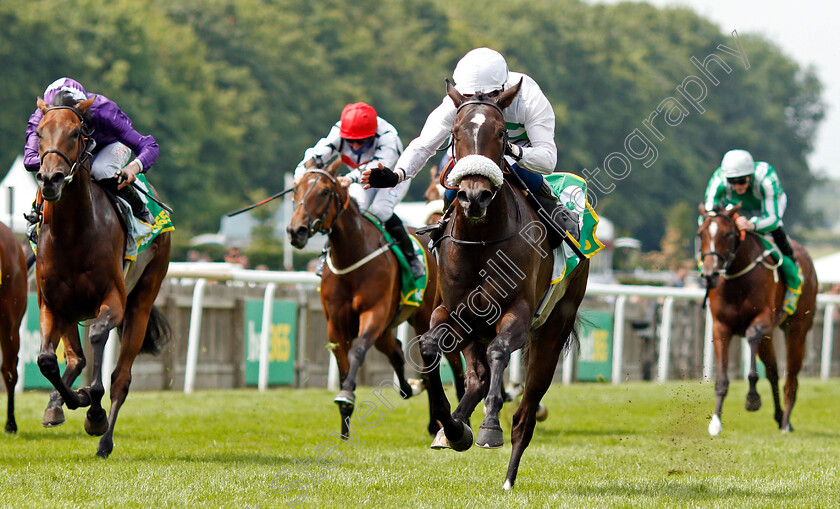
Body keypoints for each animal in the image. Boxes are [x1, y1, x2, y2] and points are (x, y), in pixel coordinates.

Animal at [34, 96, 172, 456]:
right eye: (39, 133)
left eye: (75, 133)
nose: (50, 179)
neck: (72, 234)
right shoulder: (51, 305)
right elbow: (46, 360)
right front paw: (72, 399)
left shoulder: (113, 300)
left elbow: (97, 337)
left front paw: (93, 414)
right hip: (71, 311)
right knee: (75, 358)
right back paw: (56, 405)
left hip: (142, 300)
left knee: (121, 378)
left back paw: (105, 440)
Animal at [288, 159, 466, 436]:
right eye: (295, 189)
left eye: (325, 191)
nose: (296, 230)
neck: (351, 256)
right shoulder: (335, 325)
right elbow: (343, 364)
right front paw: (344, 420)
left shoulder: (374, 313)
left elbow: (359, 350)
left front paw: (347, 396)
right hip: (388, 328)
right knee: (397, 352)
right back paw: (413, 394)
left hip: (424, 317)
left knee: (444, 362)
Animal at [420, 79, 592, 488]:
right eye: (454, 132)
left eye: (500, 133)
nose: (474, 195)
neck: (482, 239)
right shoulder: (454, 313)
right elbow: (430, 347)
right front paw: (452, 428)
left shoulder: (519, 314)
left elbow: (500, 353)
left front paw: (487, 428)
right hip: (471, 328)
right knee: (477, 377)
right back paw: (455, 427)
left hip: (553, 330)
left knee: (525, 415)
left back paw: (509, 477)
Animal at [700, 204, 816, 434]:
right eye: (701, 234)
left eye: (727, 234)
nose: (709, 275)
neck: (737, 280)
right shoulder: (721, 327)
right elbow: (723, 378)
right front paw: (715, 422)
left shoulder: (762, 319)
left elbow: (753, 339)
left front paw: (752, 398)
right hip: (769, 337)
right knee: (773, 372)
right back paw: (780, 416)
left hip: (797, 328)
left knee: (791, 378)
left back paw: (786, 422)